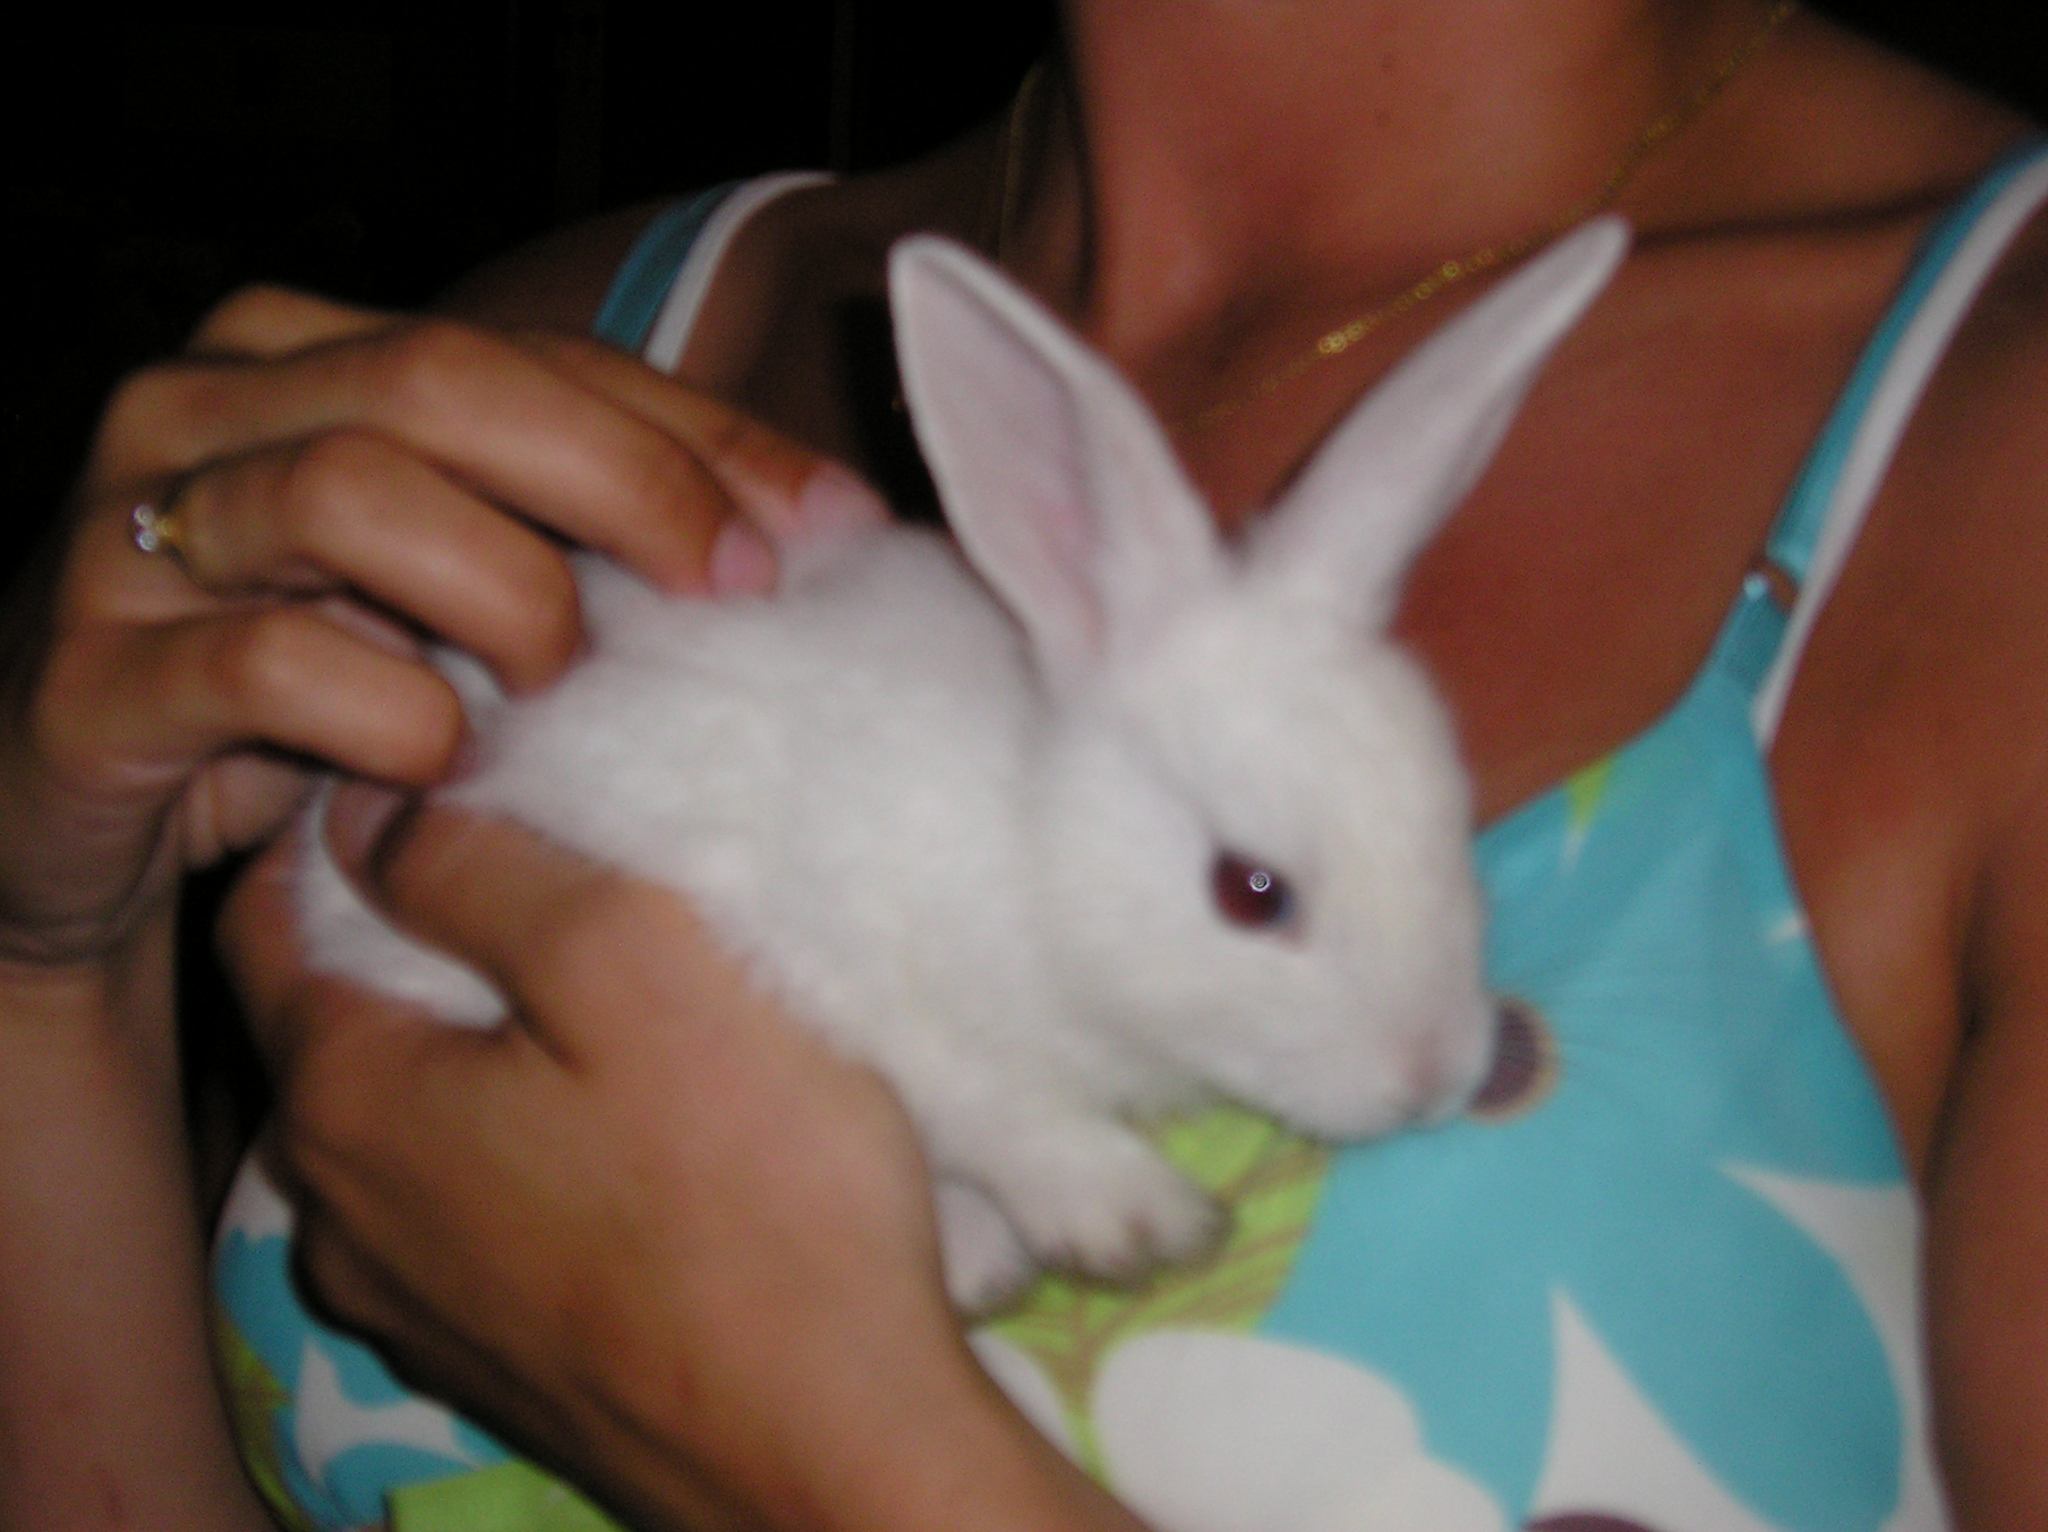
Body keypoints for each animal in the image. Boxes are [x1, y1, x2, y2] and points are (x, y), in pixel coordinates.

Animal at [290, 214, 1629, 1313]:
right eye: (1250, 892)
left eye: (1453, 827)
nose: (1434, 1075)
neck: (1032, 844)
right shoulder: (822, 945)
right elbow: (977, 1096)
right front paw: (1133, 1219)